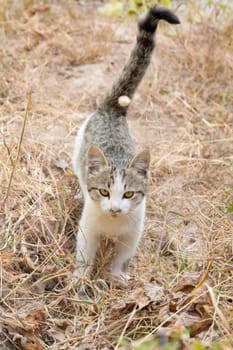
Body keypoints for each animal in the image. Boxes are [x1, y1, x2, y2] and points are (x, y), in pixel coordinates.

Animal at [73, 4, 180, 278]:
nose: (114, 209)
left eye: (129, 194)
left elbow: (122, 256)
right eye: (103, 191)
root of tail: (114, 108)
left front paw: (117, 276)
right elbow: (84, 256)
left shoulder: (133, 233)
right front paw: (80, 279)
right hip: (78, 149)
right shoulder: (88, 229)